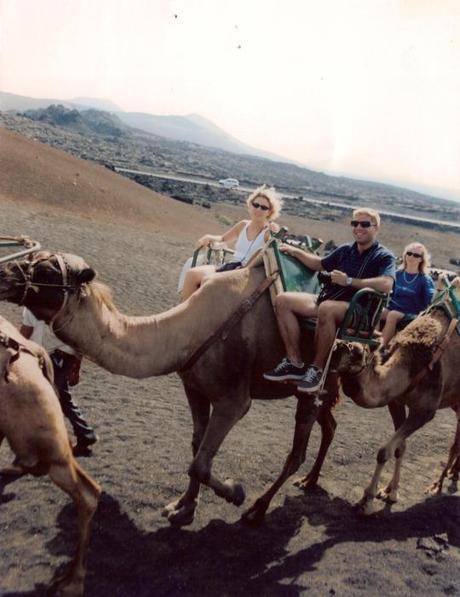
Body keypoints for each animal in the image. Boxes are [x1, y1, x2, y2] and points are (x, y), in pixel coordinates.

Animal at [332, 308, 458, 512]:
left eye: (357, 352)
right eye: (338, 345)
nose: (334, 353)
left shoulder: (425, 411)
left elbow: (384, 452)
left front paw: (367, 500)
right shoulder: (396, 401)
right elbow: (400, 448)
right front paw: (390, 492)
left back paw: (438, 485)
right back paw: (451, 476)